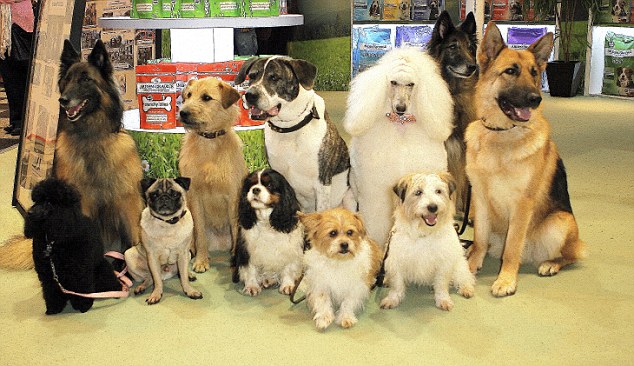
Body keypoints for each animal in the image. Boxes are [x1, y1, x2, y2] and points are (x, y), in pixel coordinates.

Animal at [26, 178, 122, 314]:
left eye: (49, 202)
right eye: (36, 201)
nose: (29, 213)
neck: (54, 243)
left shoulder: (79, 271)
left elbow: (81, 287)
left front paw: (83, 306)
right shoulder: (48, 273)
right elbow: (51, 291)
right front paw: (53, 308)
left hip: (102, 269)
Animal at [178, 77, 249, 272]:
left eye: (206, 97)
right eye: (188, 95)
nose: (182, 113)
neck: (209, 142)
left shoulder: (233, 197)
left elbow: (235, 228)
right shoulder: (195, 198)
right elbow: (200, 233)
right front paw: (201, 261)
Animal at [378, 173, 472, 310]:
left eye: (438, 191)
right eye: (418, 192)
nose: (433, 207)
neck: (424, 233)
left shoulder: (443, 263)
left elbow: (441, 284)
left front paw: (443, 300)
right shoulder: (397, 261)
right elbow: (397, 285)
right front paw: (392, 299)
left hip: (458, 263)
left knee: (464, 276)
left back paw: (466, 288)